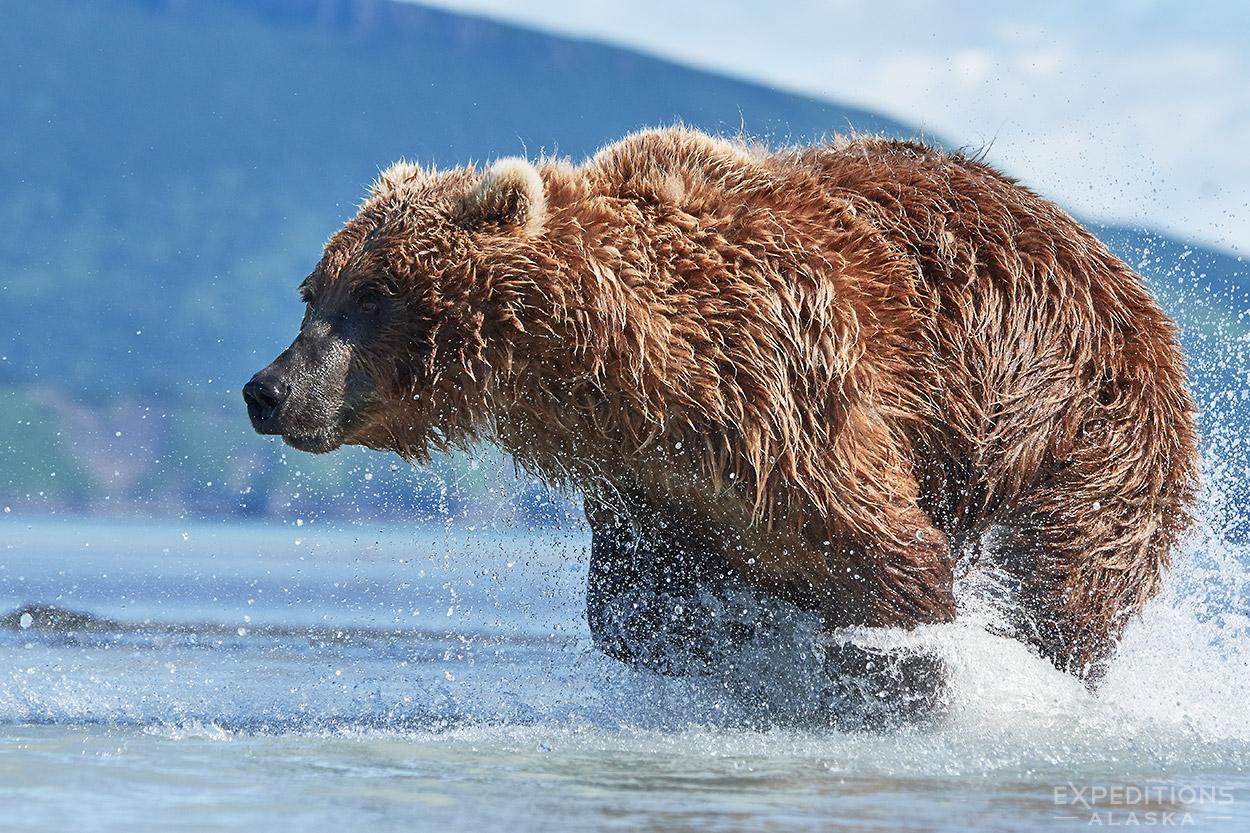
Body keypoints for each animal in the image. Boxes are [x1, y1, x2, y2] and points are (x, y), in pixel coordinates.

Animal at [245, 127, 1198, 719]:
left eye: (374, 293)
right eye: (313, 290)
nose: (269, 389)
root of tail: (1139, 296)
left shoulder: (792, 389)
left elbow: (895, 563)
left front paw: (872, 669)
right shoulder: (652, 476)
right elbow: (631, 600)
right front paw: (735, 630)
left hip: (1074, 427)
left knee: (1061, 578)